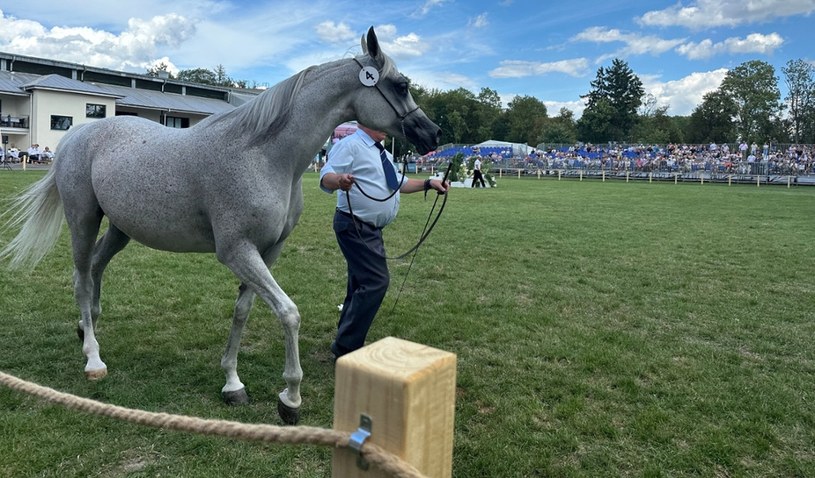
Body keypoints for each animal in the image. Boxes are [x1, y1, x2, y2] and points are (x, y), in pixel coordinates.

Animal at [0, 26, 440, 424]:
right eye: (401, 85)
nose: (432, 133)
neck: (263, 155)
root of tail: (80, 133)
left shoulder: (267, 251)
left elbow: (243, 310)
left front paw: (232, 382)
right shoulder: (237, 251)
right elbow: (288, 312)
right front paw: (290, 397)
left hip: (121, 230)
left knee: (95, 269)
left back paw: (86, 326)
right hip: (83, 219)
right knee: (80, 277)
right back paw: (93, 358)